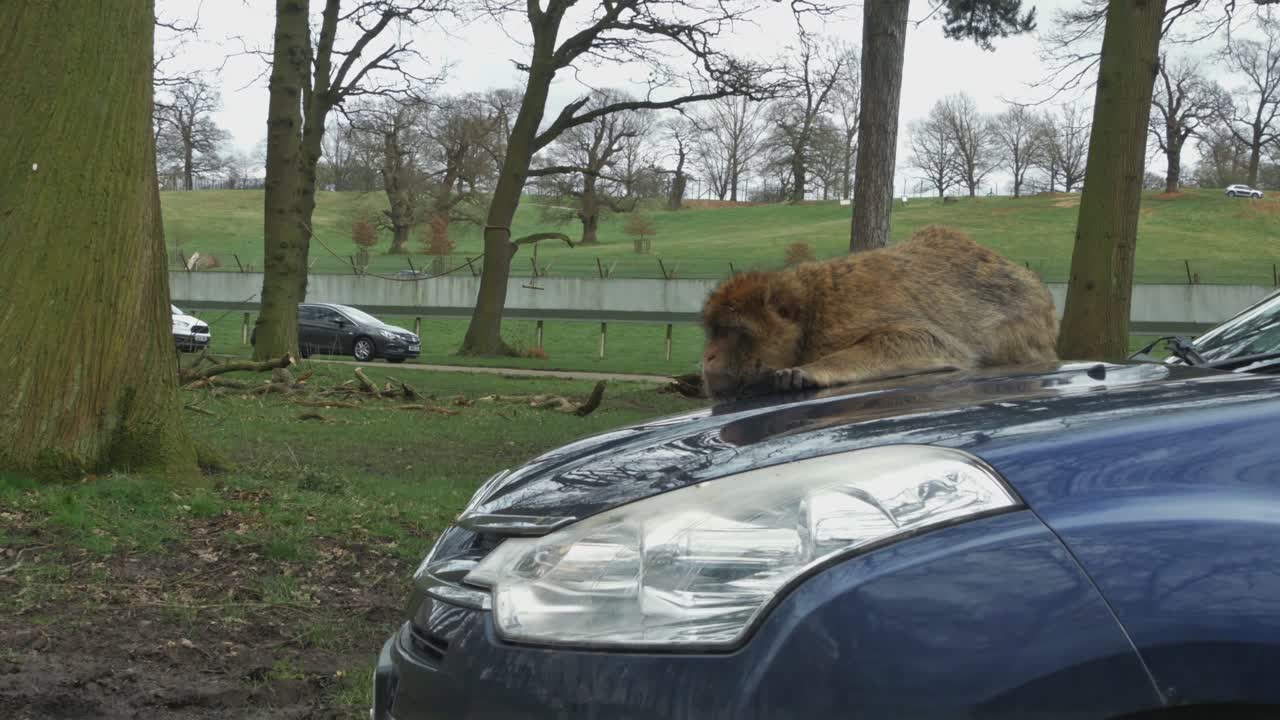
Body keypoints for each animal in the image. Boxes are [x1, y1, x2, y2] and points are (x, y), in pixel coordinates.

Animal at [698, 225, 1059, 401]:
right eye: (715, 333)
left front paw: (811, 371)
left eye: (730, 333)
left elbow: (928, 340)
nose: (707, 356)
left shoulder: (843, 319)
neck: (813, 314)